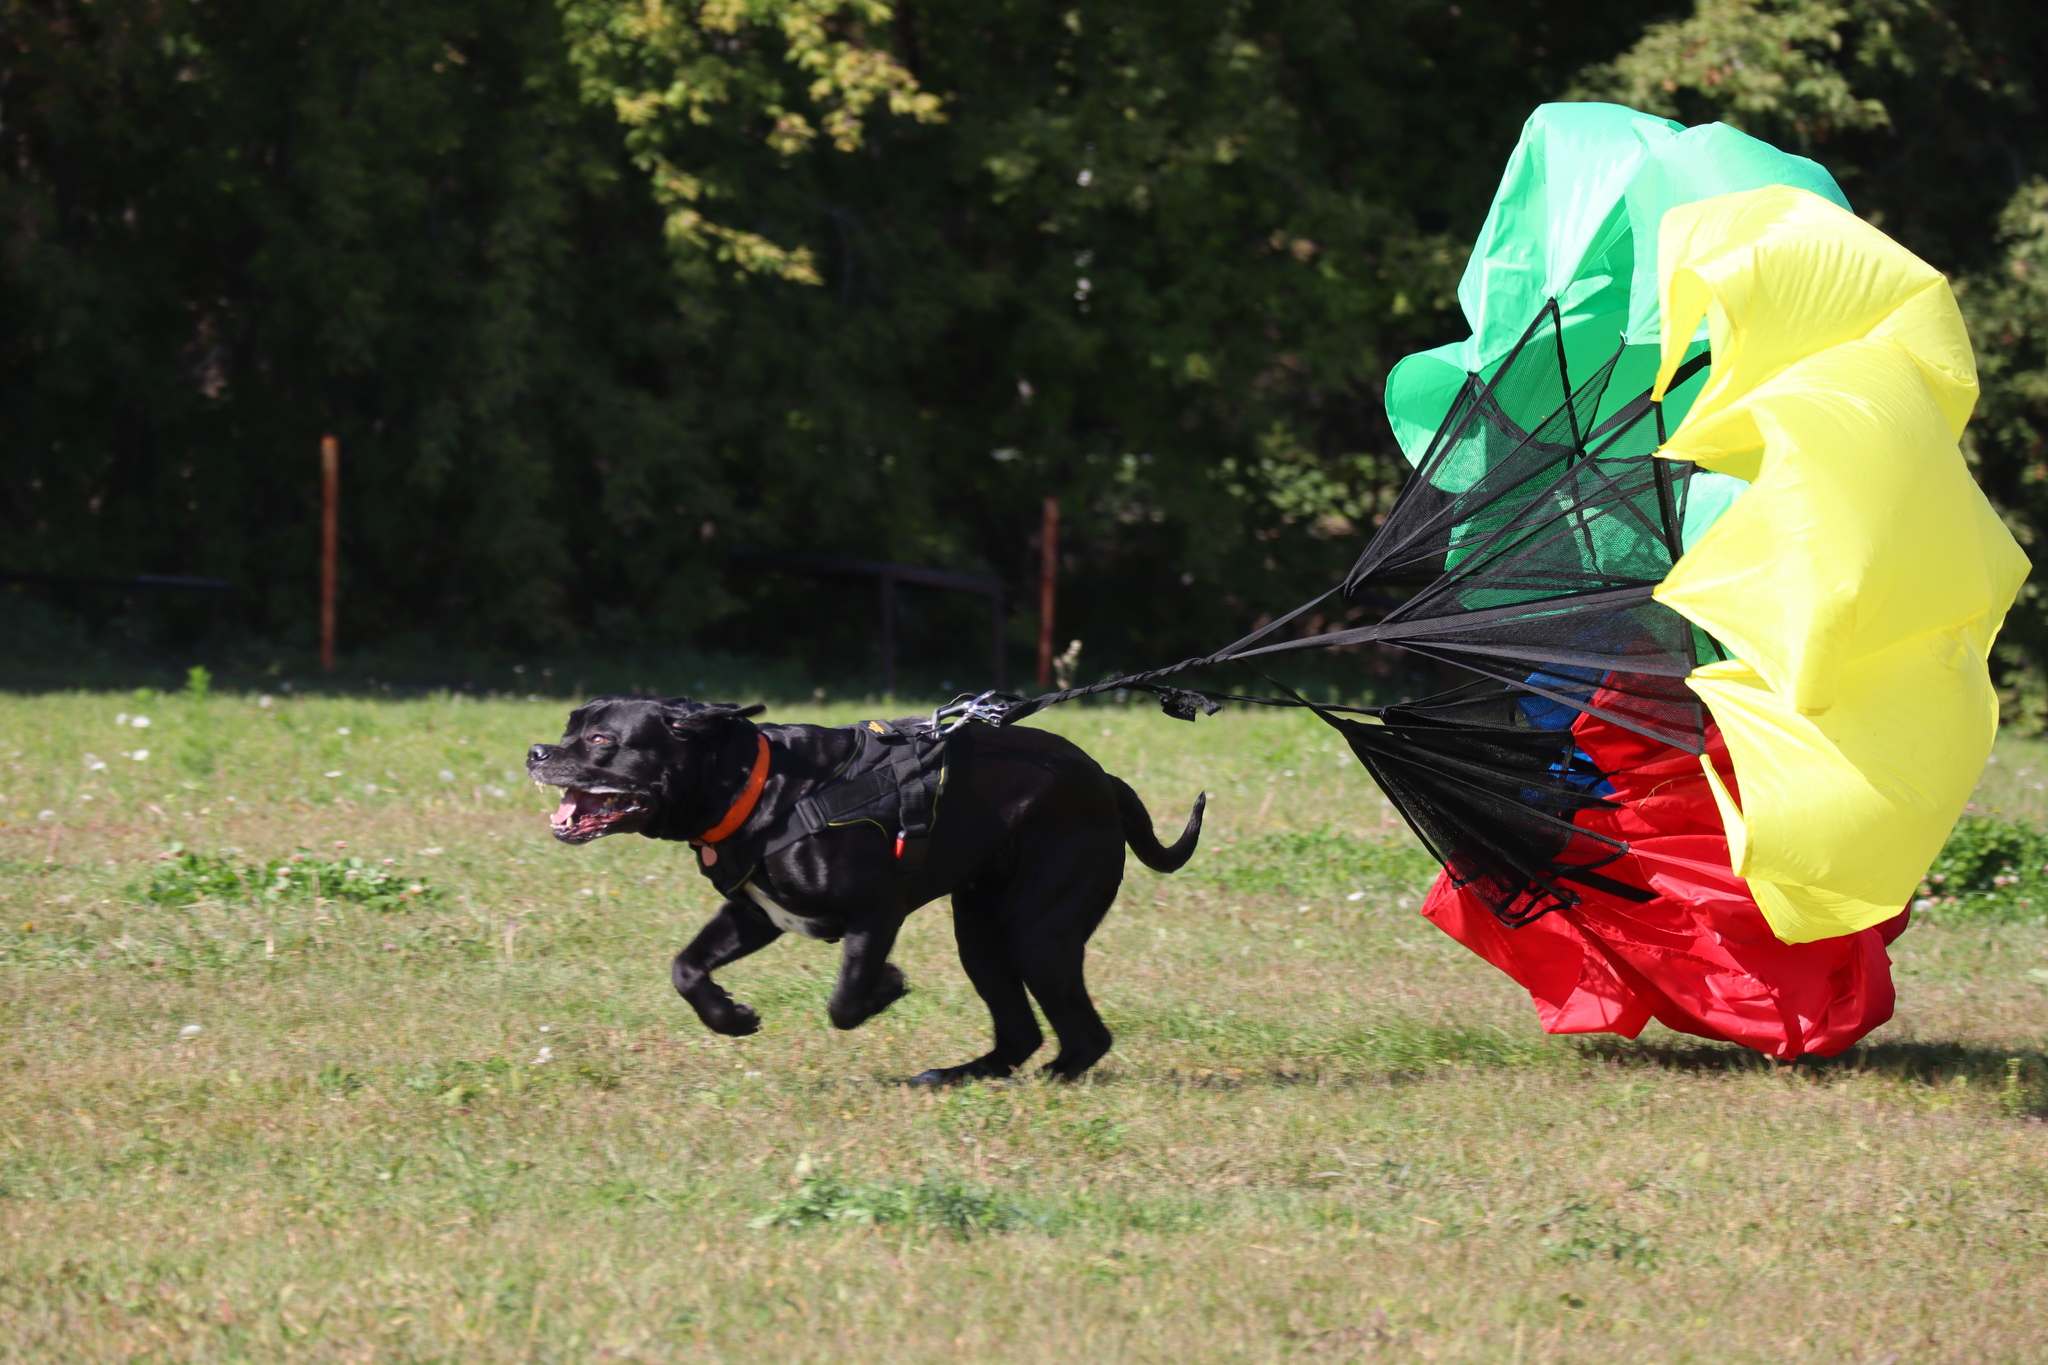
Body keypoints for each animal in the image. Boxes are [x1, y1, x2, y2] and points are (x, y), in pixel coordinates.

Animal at [524, 699, 1196, 1080]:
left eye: (601, 740)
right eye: (568, 728)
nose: (535, 751)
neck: (764, 787)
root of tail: (1105, 781)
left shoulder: (875, 915)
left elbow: (844, 1002)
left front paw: (887, 987)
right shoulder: (755, 913)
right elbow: (685, 968)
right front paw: (732, 1018)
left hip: (1036, 933)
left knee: (1085, 1035)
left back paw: (1050, 1080)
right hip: (980, 935)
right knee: (1019, 1033)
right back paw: (957, 1076)